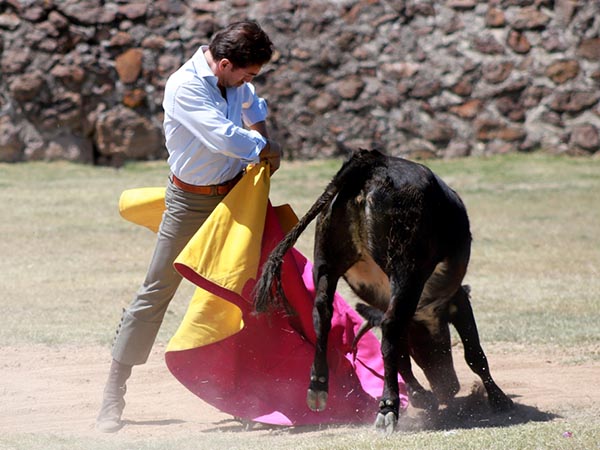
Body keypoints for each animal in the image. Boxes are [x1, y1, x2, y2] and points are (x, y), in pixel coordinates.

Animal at [253, 150, 510, 432]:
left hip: (326, 261)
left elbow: (402, 355)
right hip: (406, 270)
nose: (448, 388)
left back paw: (318, 385)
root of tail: (373, 162)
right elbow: (474, 352)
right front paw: (499, 399)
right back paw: (388, 407)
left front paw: (422, 397)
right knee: (389, 327)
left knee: (322, 314)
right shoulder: (456, 299)